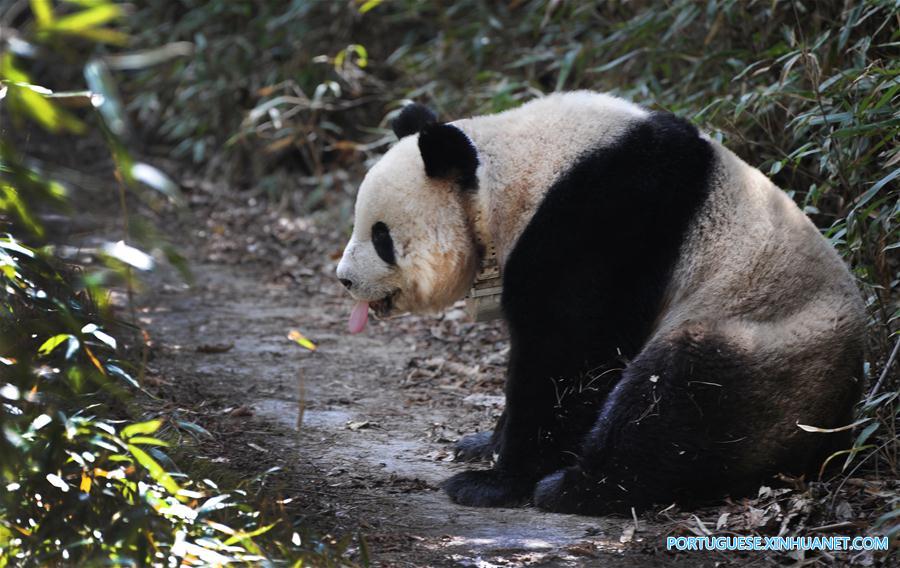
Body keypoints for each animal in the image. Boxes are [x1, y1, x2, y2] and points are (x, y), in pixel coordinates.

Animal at [336, 90, 864, 516]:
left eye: (380, 237)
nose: (344, 279)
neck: (508, 171)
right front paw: (483, 443)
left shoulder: (603, 216)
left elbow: (569, 351)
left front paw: (494, 482)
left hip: (770, 349)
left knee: (678, 399)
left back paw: (576, 489)